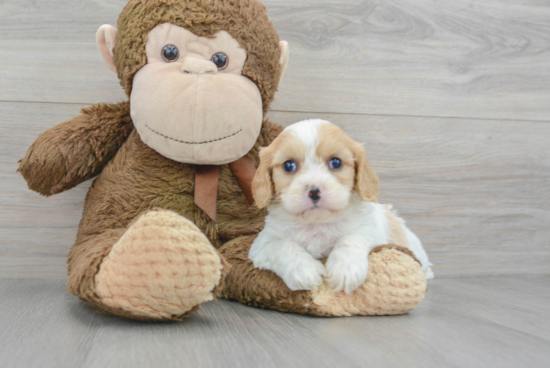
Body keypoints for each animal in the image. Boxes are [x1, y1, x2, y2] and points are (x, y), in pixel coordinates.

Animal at [250, 120, 436, 294]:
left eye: (336, 162)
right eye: (288, 166)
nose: (314, 191)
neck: (317, 224)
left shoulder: (370, 228)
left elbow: (351, 237)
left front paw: (345, 269)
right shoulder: (263, 243)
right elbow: (282, 245)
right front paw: (304, 271)